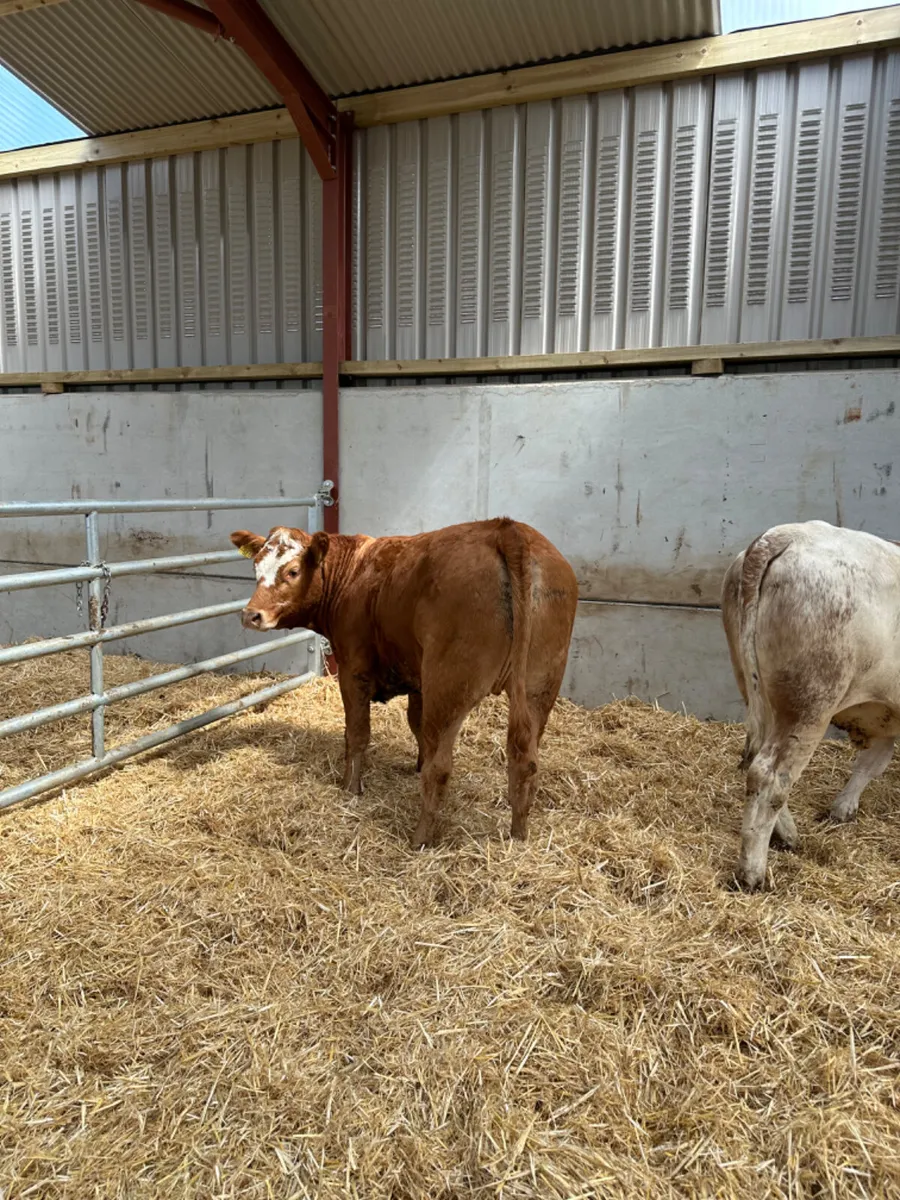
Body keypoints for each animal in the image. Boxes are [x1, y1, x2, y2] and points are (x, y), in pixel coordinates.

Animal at [230, 518, 579, 847]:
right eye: (255, 566)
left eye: (293, 570)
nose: (251, 615)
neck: (354, 574)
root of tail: (506, 528)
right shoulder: (419, 681)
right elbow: (417, 727)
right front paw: (414, 767)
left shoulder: (353, 670)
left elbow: (357, 734)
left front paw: (350, 788)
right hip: (539, 688)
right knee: (525, 763)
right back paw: (518, 836)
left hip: (449, 685)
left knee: (442, 768)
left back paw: (420, 838)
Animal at [722, 520, 900, 890]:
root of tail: (785, 534)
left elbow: (871, 762)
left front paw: (843, 808)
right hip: (810, 705)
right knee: (770, 775)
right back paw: (752, 873)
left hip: (757, 691)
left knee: (757, 759)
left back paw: (787, 836)